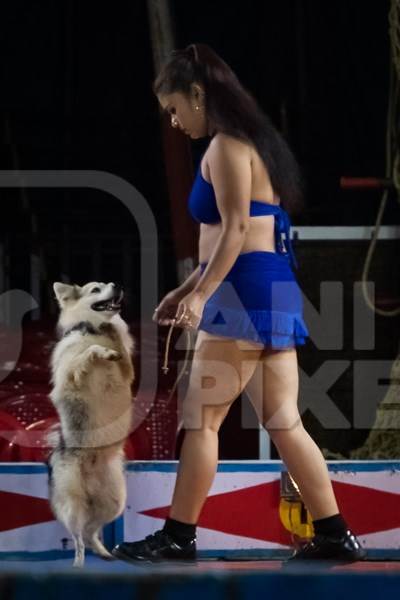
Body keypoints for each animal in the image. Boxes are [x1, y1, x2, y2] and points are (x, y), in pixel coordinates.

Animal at [48, 282, 136, 568]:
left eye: (108, 283)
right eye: (95, 289)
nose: (116, 285)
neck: (95, 330)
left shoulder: (127, 370)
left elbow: (120, 350)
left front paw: (113, 333)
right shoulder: (70, 375)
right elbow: (89, 352)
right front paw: (101, 350)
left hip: (114, 502)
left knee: (90, 532)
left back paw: (104, 551)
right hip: (74, 505)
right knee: (77, 538)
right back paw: (78, 563)